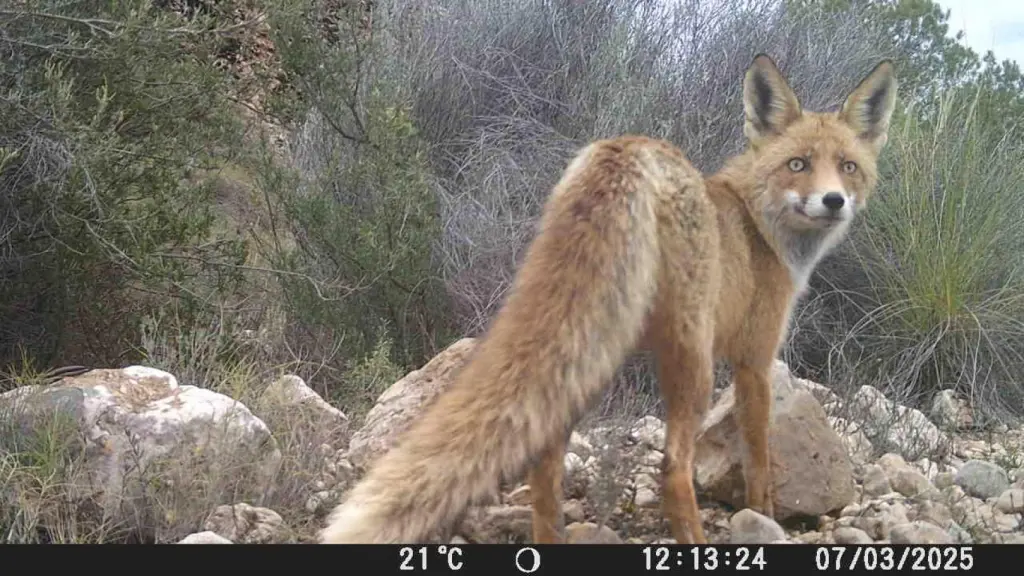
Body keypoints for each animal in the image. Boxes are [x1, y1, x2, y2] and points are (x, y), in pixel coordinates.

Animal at [319, 53, 897, 545]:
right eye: (798, 164)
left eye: (848, 166)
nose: (833, 201)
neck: (758, 227)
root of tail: (628, 147)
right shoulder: (755, 359)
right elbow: (758, 457)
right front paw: (765, 517)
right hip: (688, 364)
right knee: (671, 468)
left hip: (590, 355)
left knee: (545, 458)